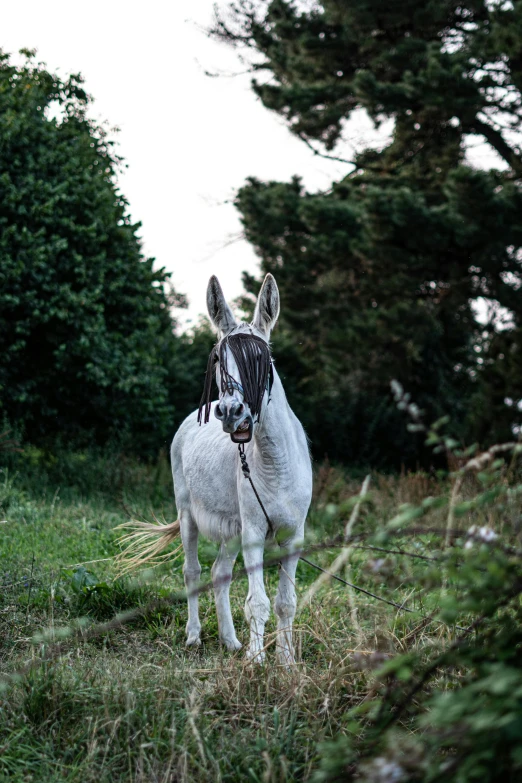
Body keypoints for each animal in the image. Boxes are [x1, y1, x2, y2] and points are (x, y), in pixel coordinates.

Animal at [124, 272, 310, 664]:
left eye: (262, 359)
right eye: (218, 358)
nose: (230, 412)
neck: (276, 464)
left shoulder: (294, 536)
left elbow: (286, 602)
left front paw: (286, 663)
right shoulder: (253, 532)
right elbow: (258, 602)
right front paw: (256, 662)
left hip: (231, 527)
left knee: (219, 572)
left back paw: (230, 641)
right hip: (189, 514)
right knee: (193, 571)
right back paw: (194, 636)